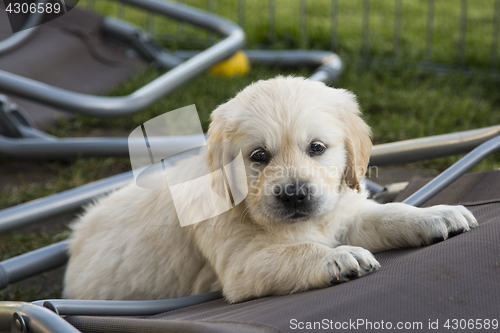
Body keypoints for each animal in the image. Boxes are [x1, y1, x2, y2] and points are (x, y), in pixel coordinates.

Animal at [62, 76, 476, 302]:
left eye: (317, 148)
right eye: (258, 156)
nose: (294, 194)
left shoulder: (344, 214)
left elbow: (390, 213)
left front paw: (435, 214)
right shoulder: (241, 265)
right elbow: (298, 252)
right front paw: (338, 257)